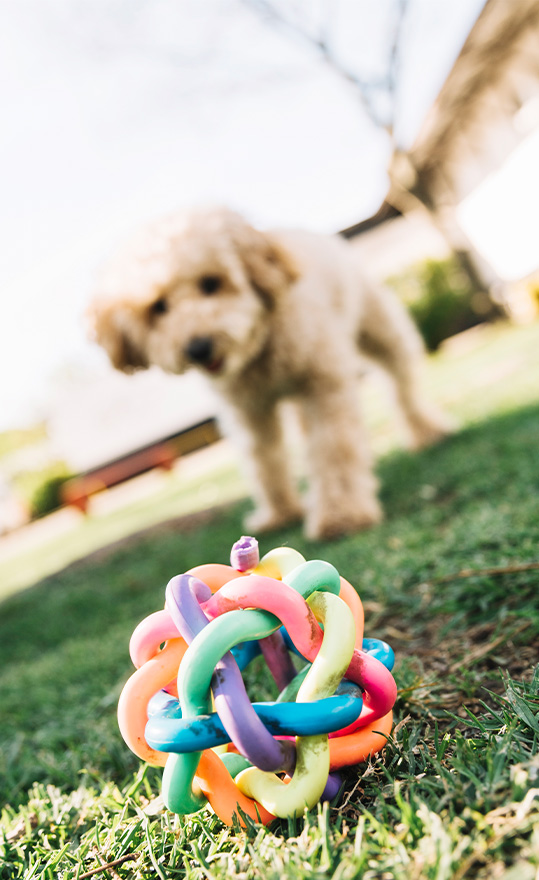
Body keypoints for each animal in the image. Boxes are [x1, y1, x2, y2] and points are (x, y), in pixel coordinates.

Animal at [88, 208, 452, 536]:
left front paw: (341, 515)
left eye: (211, 283)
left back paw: (426, 431)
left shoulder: (322, 384)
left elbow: (333, 449)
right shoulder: (249, 410)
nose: (198, 348)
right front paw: (280, 513)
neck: (259, 353)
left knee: (401, 381)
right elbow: (264, 459)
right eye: (159, 307)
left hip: (380, 328)